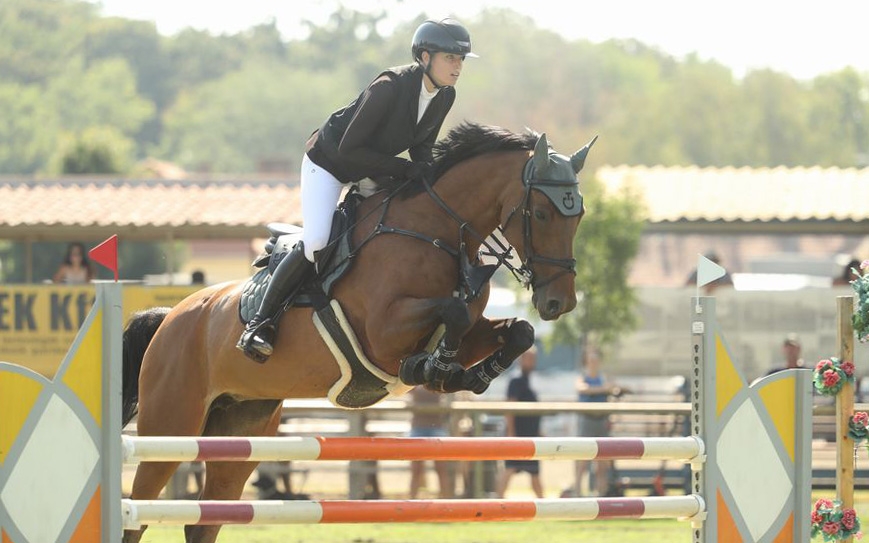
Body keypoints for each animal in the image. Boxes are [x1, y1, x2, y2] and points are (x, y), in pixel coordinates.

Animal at [122, 123, 592, 543]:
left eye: (579, 216)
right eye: (542, 213)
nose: (560, 303)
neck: (436, 233)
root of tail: (170, 316)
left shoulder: (466, 330)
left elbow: (518, 332)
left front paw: (470, 375)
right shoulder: (383, 333)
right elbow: (453, 312)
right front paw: (433, 368)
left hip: (241, 430)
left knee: (204, 522)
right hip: (170, 425)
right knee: (138, 513)